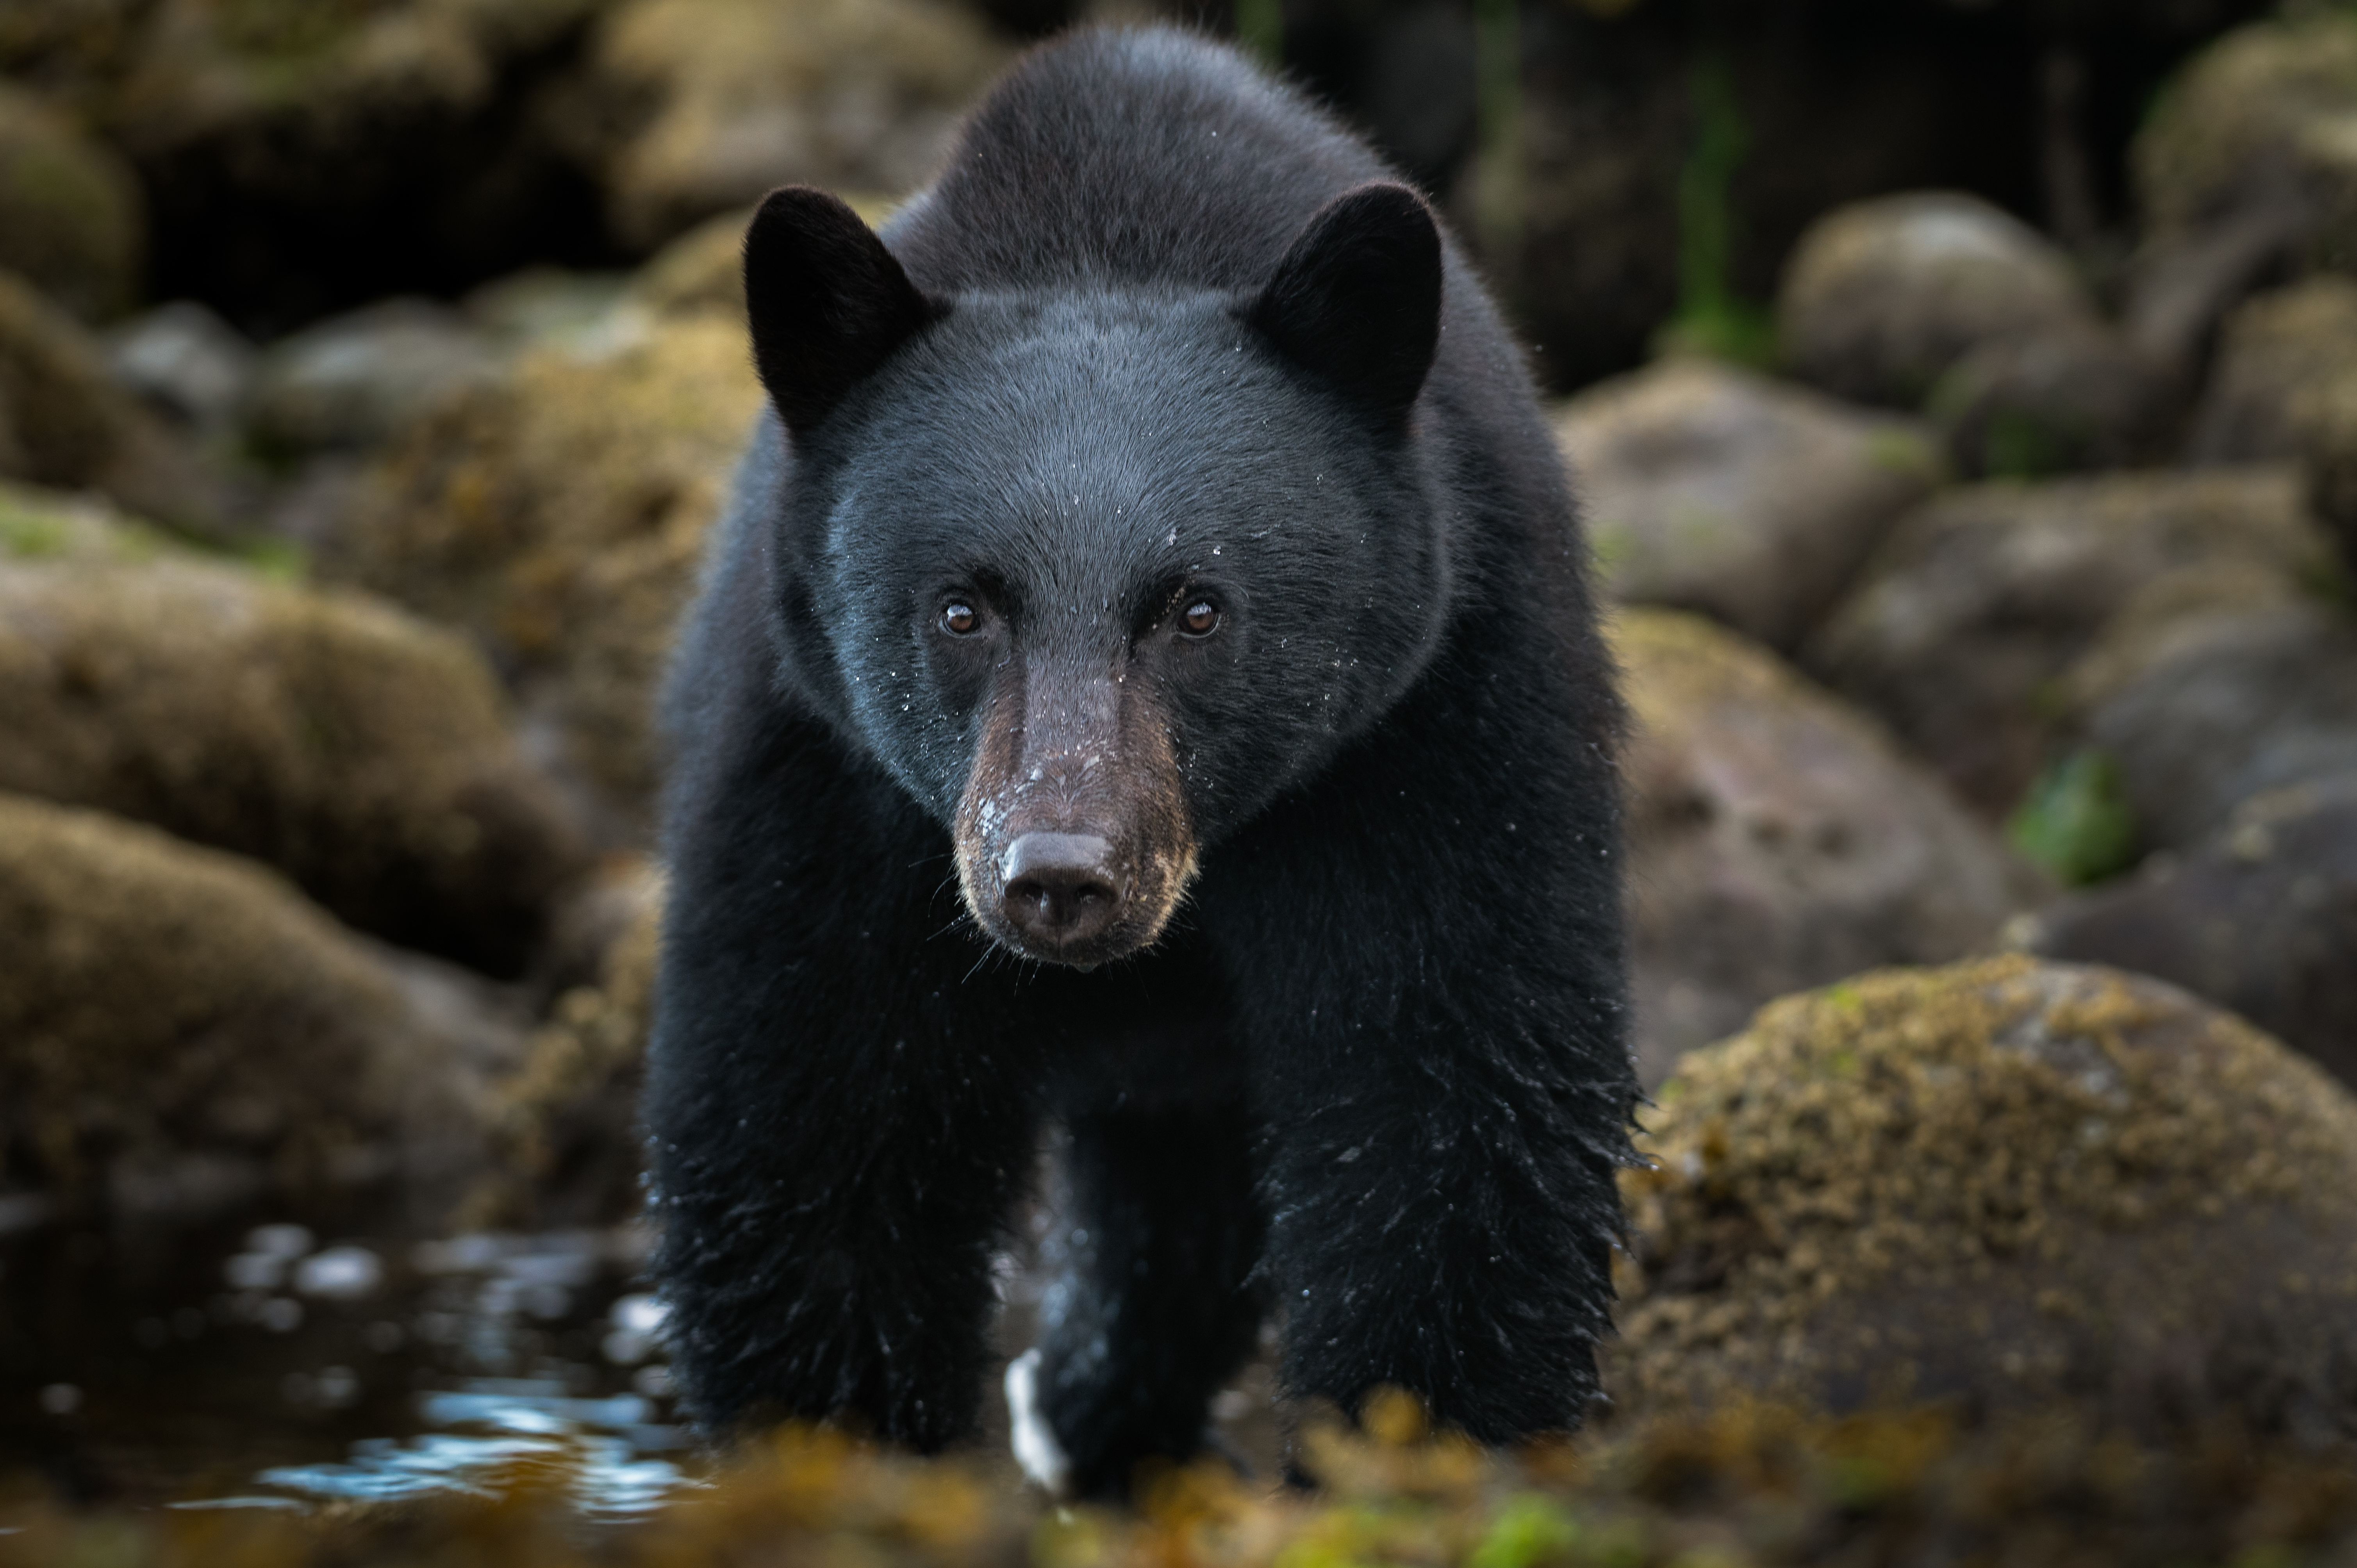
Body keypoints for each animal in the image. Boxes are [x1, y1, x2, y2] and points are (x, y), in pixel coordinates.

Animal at [645, 25, 1637, 1498]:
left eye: (1197, 607)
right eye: (961, 607)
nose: (1059, 871)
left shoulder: (1441, 735)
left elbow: (1454, 1106)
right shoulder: (821, 779)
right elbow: (821, 1137)